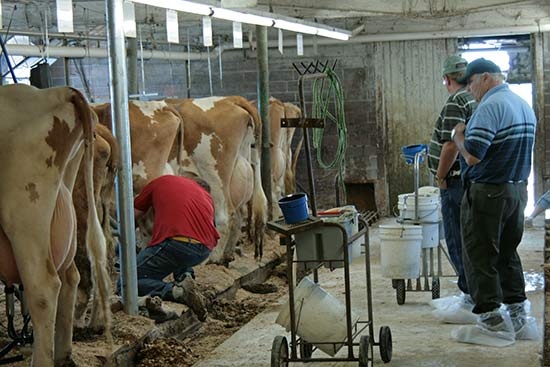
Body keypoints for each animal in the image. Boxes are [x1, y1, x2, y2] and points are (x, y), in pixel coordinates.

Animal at [169, 96, 270, 266]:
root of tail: (229, 100)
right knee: (240, 213)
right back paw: (227, 254)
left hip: (214, 173)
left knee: (223, 217)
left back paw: (212, 258)